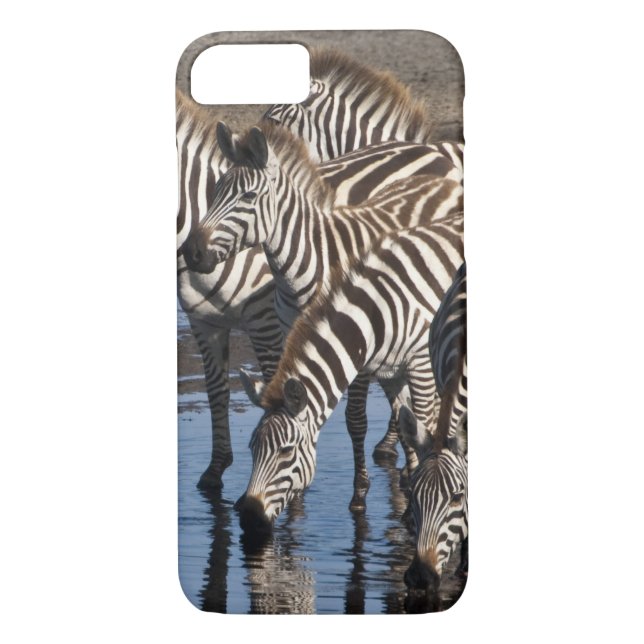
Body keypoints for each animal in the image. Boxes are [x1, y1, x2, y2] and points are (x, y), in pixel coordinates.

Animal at [177, 92, 462, 489]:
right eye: (214, 190)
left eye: (248, 197)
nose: (194, 252)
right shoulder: (218, 325)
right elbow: (225, 395)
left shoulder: (302, 327)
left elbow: (351, 416)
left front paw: (358, 488)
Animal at [232, 216, 464, 535]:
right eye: (252, 448)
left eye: (286, 452)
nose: (249, 518)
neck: (374, 314)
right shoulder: (389, 373)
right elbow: (406, 431)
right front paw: (408, 503)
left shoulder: (420, 365)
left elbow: (424, 425)